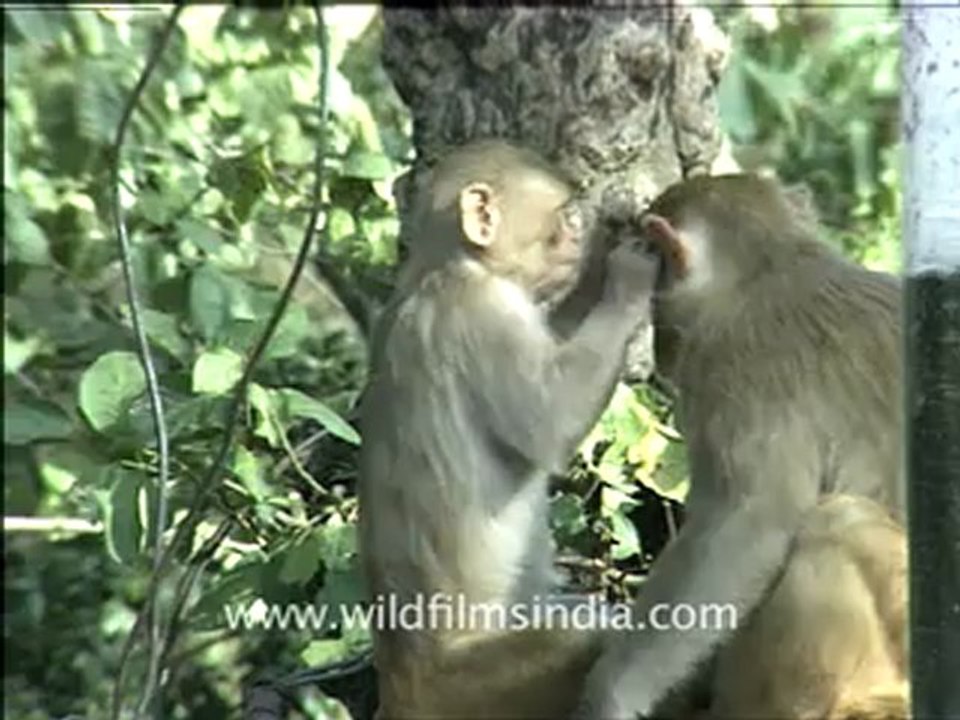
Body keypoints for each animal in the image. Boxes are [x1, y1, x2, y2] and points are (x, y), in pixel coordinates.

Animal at [357, 139, 660, 719]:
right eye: (562, 219)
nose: (580, 236)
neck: (444, 268)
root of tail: (397, 687)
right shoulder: (484, 314)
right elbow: (551, 422)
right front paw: (627, 276)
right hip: (472, 689)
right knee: (586, 634)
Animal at [574, 173, 903, 719]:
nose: (661, 348)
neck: (771, 267)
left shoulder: (734, 374)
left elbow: (744, 529)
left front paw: (612, 692)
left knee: (838, 520)